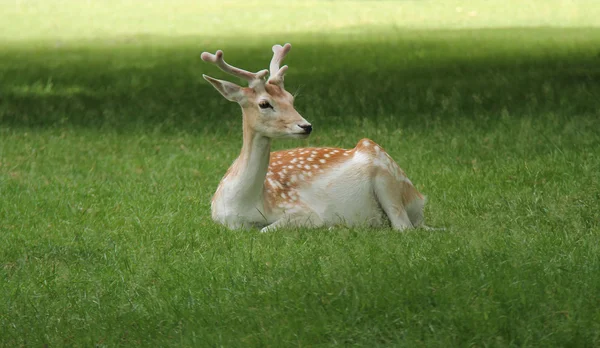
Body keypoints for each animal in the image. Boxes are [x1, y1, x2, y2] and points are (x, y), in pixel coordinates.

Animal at [202, 44, 426, 234]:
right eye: (264, 104)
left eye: (291, 99)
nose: (306, 126)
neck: (241, 205)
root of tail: (420, 198)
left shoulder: (303, 210)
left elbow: (266, 229)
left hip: (387, 177)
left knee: (403, 227)